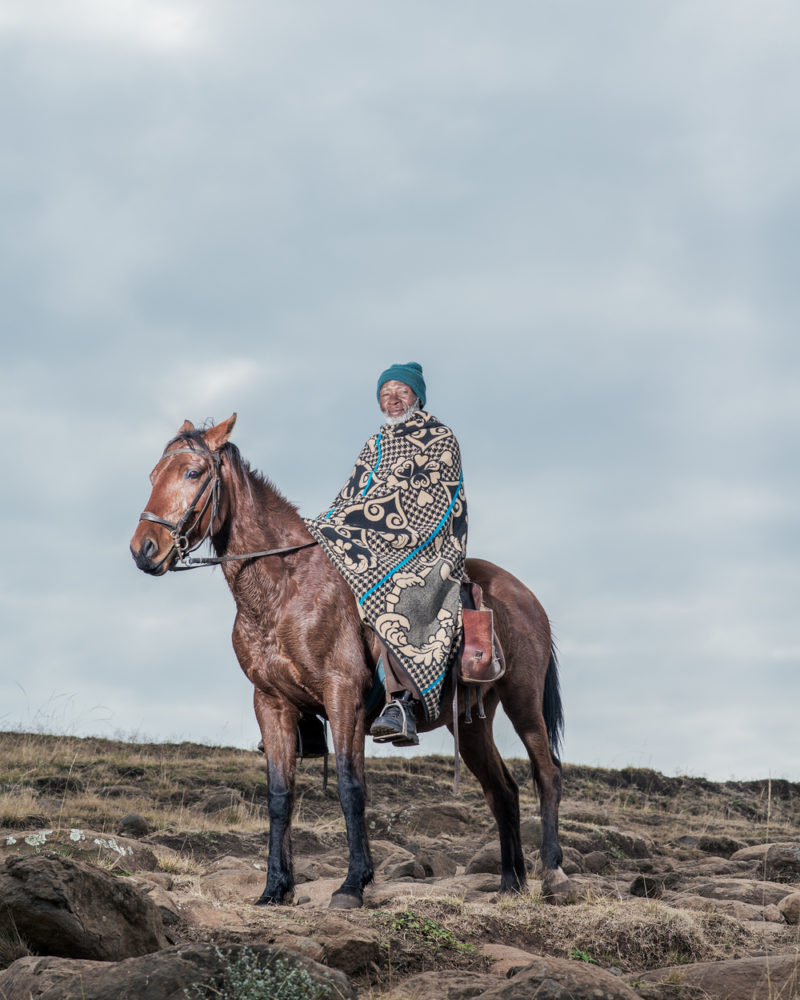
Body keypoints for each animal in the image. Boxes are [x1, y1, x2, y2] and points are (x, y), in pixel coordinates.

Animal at [130, 414, 568, 908]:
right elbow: (280, 795)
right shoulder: (271, 703)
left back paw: (553, 874)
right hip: (471, 723)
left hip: (523, 698)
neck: (285, 590)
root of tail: (525, 596)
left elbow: (349, 785)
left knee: (547, 774)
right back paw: (511, 882)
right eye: (153, 475)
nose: (144, 548)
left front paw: (353, 883)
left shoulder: (344, 699)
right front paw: (274, 888)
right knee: (503, 791)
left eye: (193, 473)